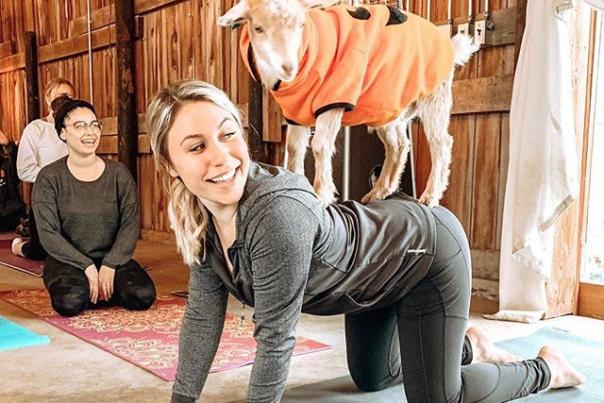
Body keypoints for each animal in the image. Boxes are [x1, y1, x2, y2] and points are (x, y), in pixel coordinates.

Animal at [219, 0, 478, 207]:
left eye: (302, 25)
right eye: (258, 28)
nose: (288, 67)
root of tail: (449, 45)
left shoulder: (334, 98)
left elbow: (320, 146)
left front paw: (321, 195)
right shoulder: (295, 112)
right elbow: (294, 149)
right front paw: (294, 183)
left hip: (434, 94)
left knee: (440, 142)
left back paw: (430, 196)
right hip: (386, 104)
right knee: (399, 145)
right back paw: (380, 191)